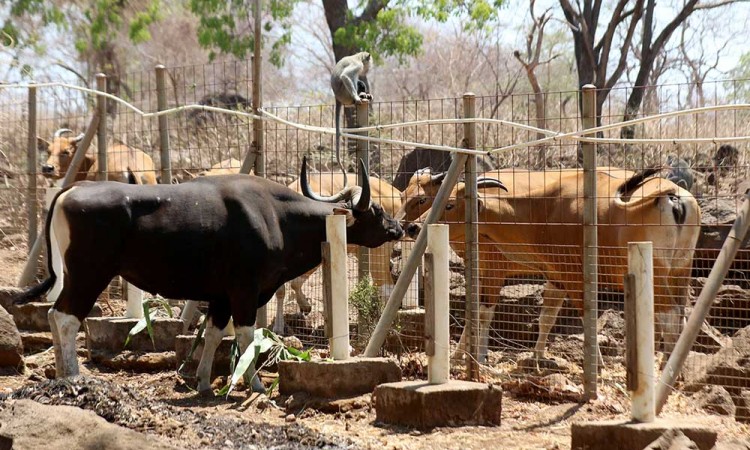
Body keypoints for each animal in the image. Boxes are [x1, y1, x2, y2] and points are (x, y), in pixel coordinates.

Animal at [16, 156, 406, 392]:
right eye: (376, 210)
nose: (400, 228)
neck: (276, 217)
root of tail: (71, 190)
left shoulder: (221, 297)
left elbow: (215, 335)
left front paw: (203, 381)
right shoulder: (246, 292)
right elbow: (247, 337)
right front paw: (255, 384)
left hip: (75, 276)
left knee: (54, 314)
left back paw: (60, 374)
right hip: (89, 275)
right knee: (65, 317)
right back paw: (71, 375)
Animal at [332, 51, 374, 186]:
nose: (368, 69)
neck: (357, 57)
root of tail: (337, 97)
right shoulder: (357, 65)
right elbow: (345, 76)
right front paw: (358, 97)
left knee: (358, 81)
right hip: (345, 94)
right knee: (351, 79)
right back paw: (360, 96)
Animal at [418, 167, 704, 364]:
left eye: (450, 204)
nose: (415, 226)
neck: (541, 210)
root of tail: (672, 196)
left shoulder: (573, 277)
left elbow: (588, 319)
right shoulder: (556, 276)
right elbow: (546, 317)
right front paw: (536, 357)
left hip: (656, 274)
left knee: (668, 317)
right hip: (681, 271)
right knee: (679, 316)